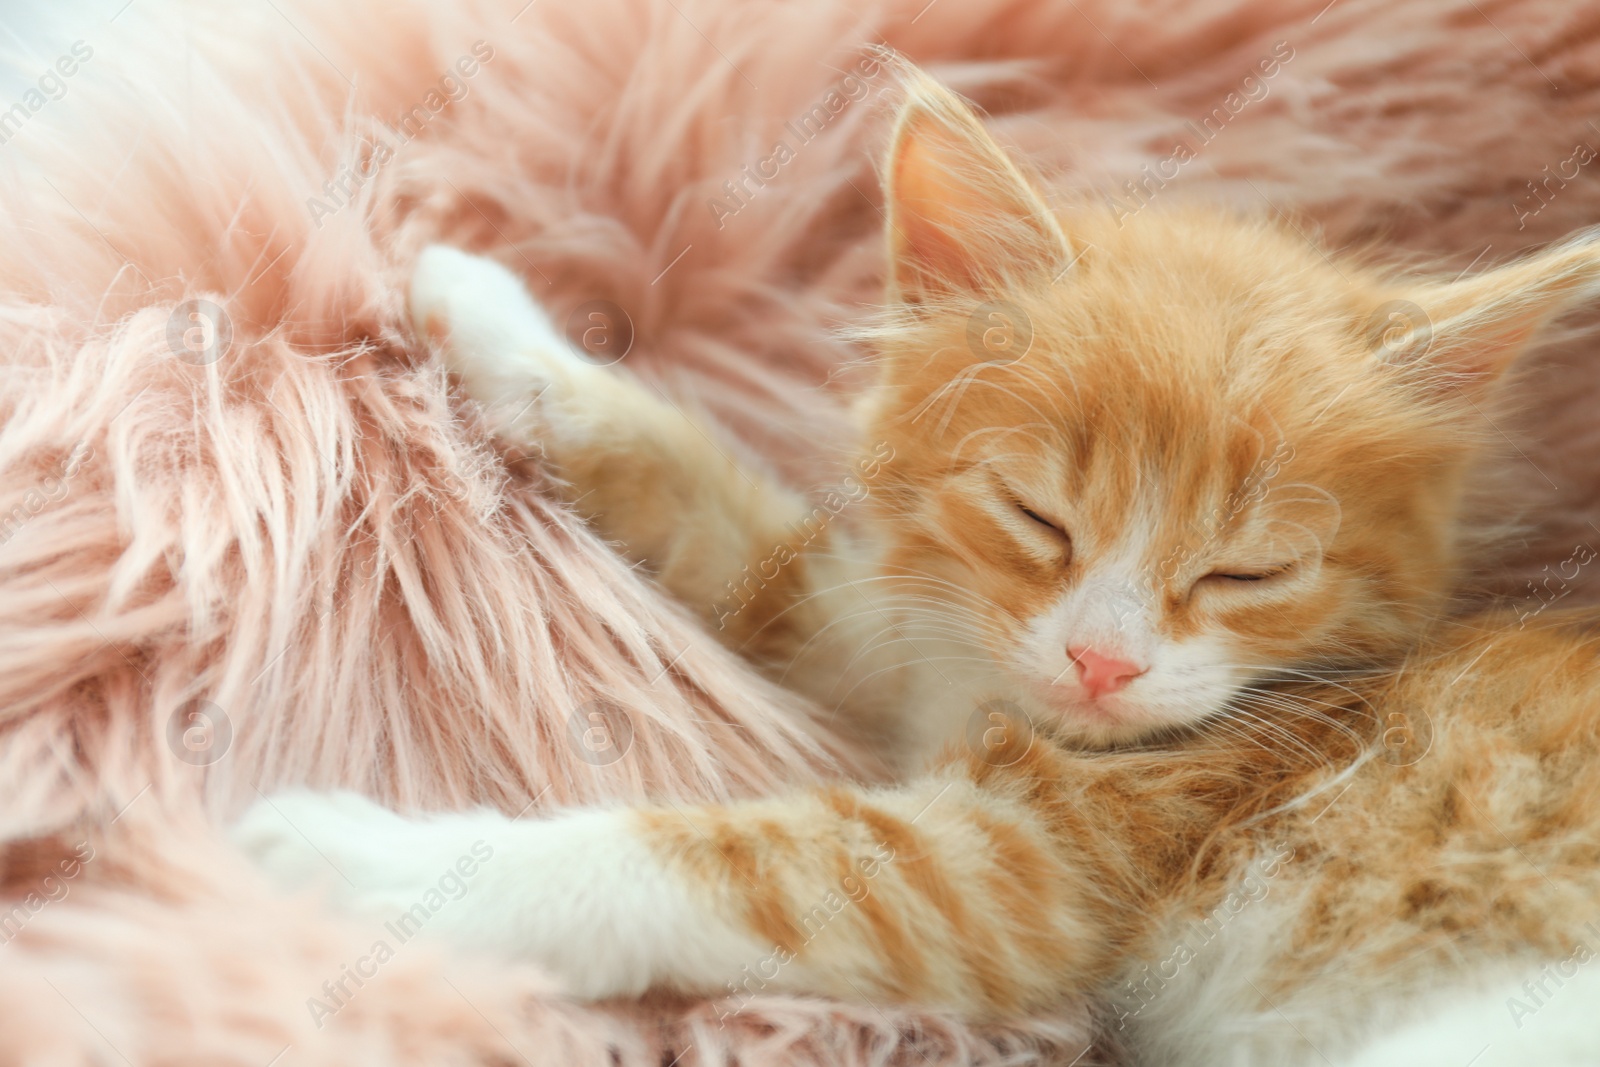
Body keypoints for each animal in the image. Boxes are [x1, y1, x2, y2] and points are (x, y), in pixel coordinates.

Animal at [233, 68, 1600, 1067]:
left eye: (1250, 573)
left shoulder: (1040, 854)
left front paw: (371, 867)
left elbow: (752, 866)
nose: (1102, 663)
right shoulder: (925, 620)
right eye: (1035, 515)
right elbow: (764, 551)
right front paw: (506, 329)